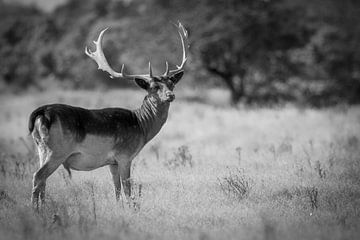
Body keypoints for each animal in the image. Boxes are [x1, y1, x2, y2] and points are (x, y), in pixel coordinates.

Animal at [28, 22, 188, 208]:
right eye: (154, 87)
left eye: (171, 83)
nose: (171, 95)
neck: (141, 125)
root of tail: (42, 112)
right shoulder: (125, 156)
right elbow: (127, 189)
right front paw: (131, 209)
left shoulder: (112, 163)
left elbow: (116, 190)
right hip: (57, 151)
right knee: (38, 177)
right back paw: (35, 210)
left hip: (41, 148)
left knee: (42, 182)